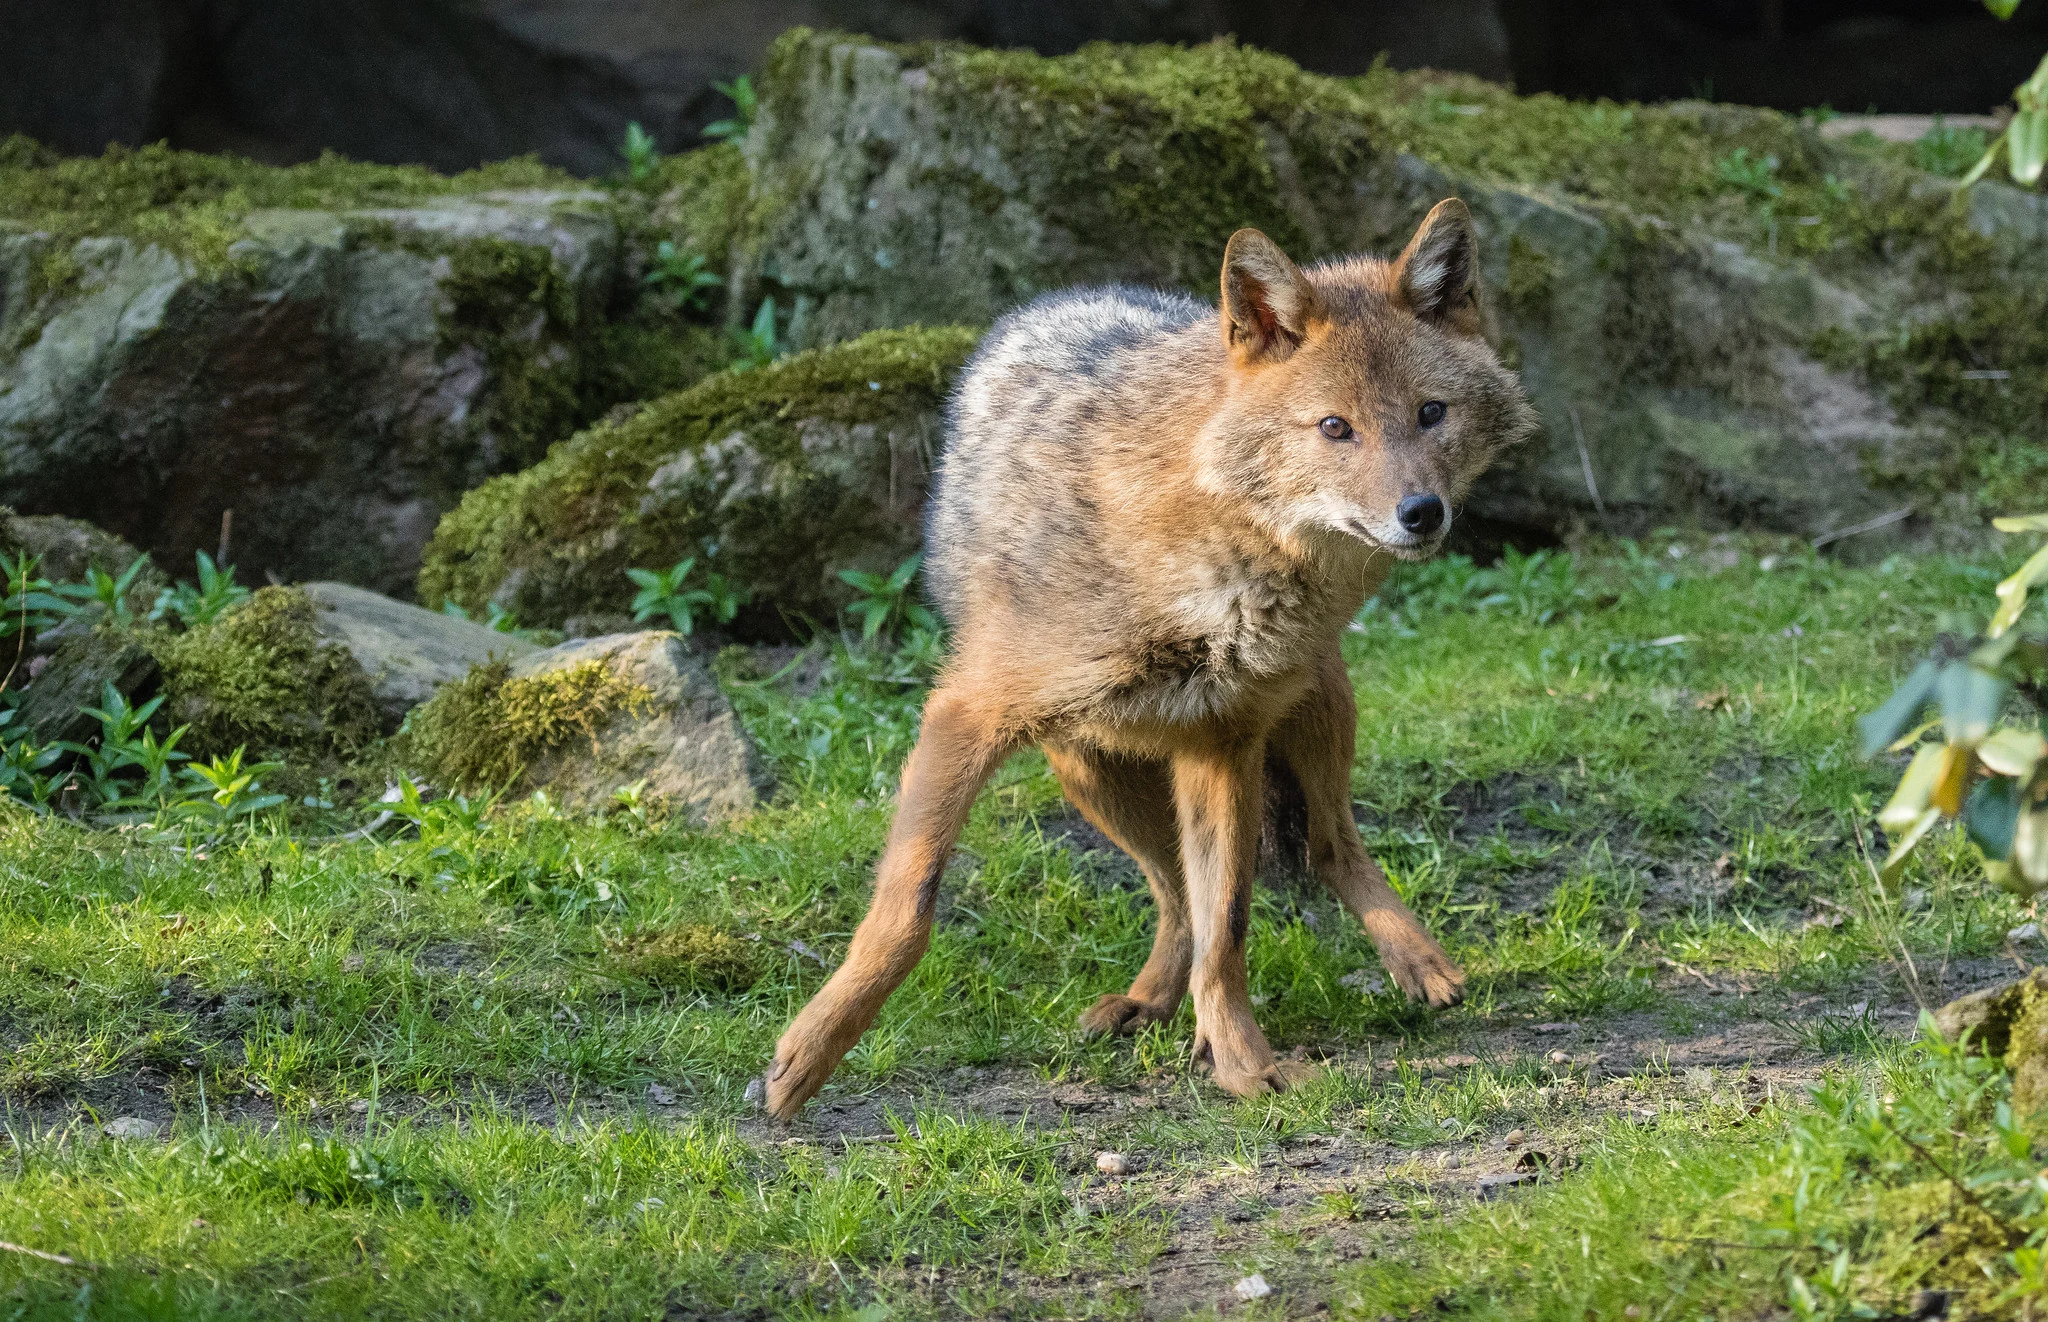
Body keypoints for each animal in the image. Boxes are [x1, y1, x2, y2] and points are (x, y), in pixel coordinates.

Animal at [765, 199, 1538, 1119]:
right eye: (1334, 428)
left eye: (1431, 413)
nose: (1421, 513)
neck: (1206, 565)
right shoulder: (965, 716)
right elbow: (906, 911)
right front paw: (807, 1058)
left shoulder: (1224, 746)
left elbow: (1229, 927)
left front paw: (1242, 1063)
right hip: (1084, 767)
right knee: (1175, 893)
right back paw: (1148, 1002)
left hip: (1311, 721)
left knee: (1323, 849)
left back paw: (1417, 966)